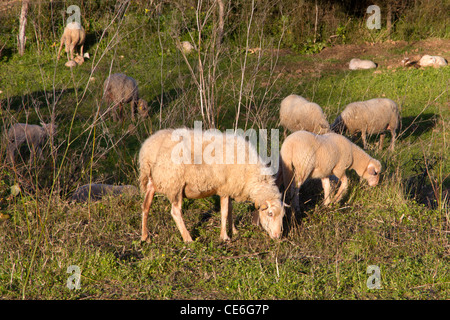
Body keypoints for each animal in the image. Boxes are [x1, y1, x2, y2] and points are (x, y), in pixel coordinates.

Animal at [138, 127, 284, 242]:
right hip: (174, 183)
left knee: (145, 206)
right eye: (270, 214)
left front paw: (234, 231)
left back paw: (145, 237)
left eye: (282, 216)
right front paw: (225, 237)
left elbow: (230, 210)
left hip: (152, 182)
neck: (251, 175)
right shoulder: (224, 188)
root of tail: (148, 151)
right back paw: (188, 239)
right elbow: (225, 212)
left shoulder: (230, 188)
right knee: (175, 212)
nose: (278, 236)